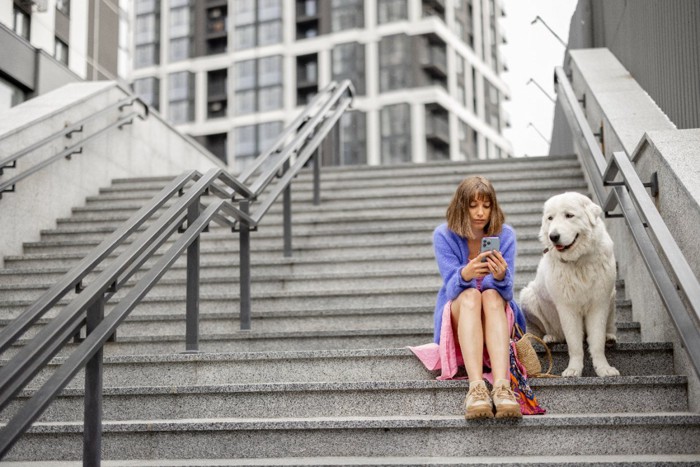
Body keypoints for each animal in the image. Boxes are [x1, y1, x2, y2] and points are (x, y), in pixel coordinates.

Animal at [520, 192, 616, 378]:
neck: (578, 262)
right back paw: (550, 337)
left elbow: (597, 342)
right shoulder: (567, 308)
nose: (553, 236)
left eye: (569, 215)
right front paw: (574, 370)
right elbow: (574, 344)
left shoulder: (599, 304)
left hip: (612, 295)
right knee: (553, 333)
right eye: (550, 218)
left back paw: (610, 337)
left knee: (608, 326)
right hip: (528, 296)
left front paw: (603, 368)